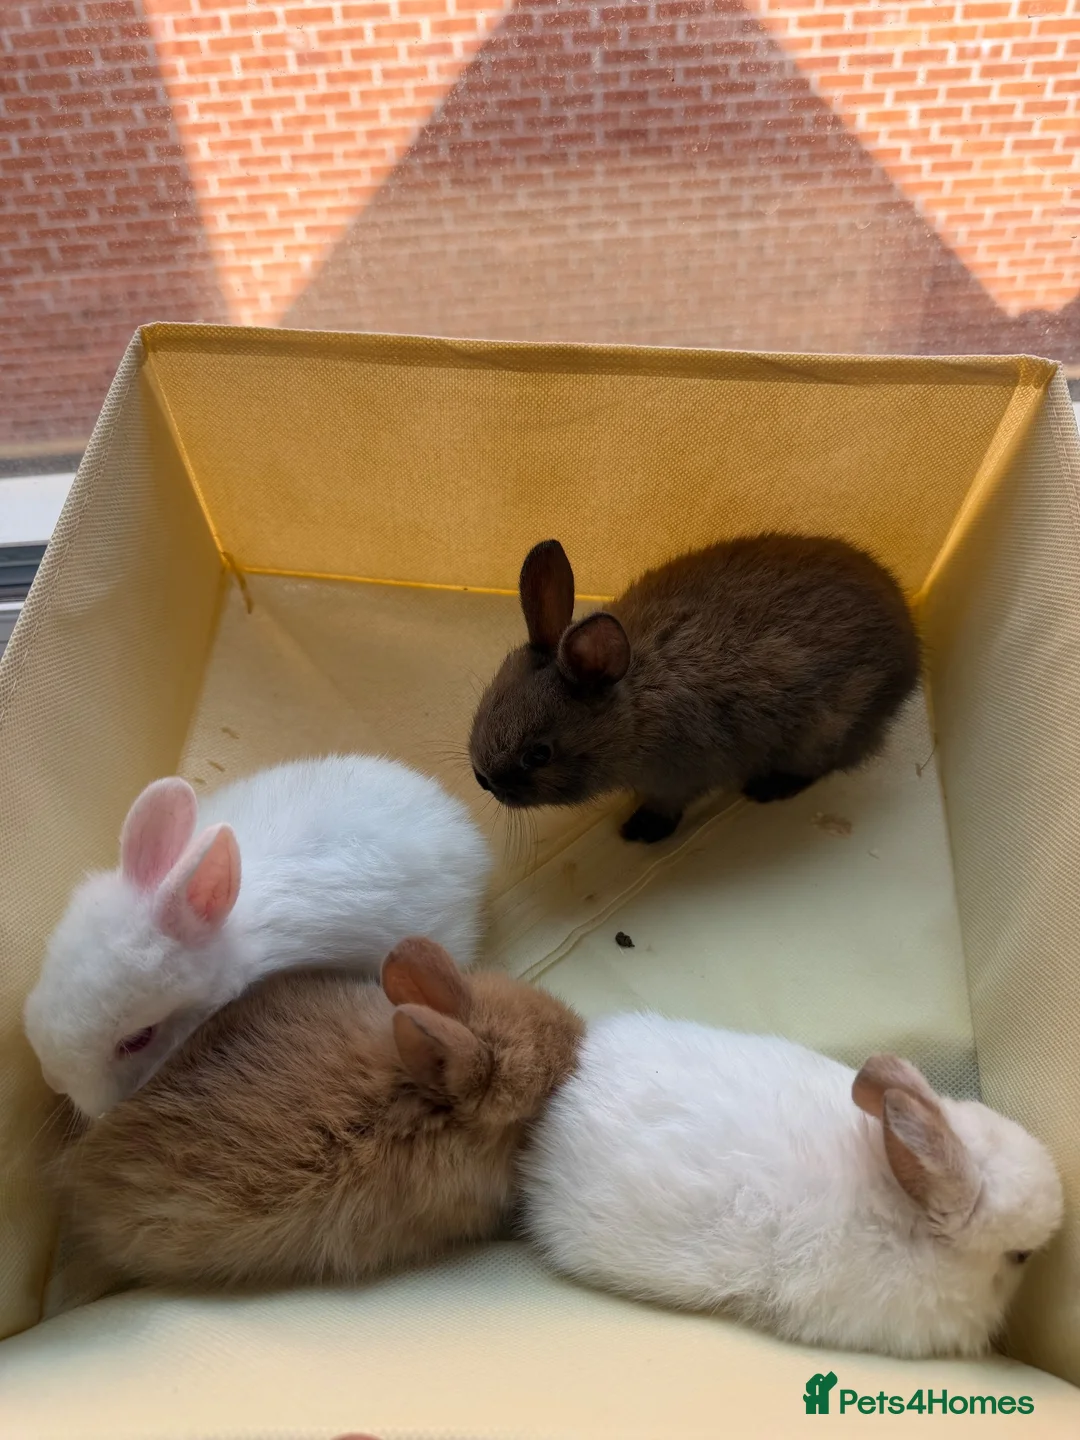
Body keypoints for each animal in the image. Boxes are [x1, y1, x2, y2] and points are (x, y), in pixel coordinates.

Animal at [469, 534, 920, 842]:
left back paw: (767, 788)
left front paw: (641, 831)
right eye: (485, 706)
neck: (631, 713)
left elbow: (668, 806)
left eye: (539, 754)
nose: (483, 780)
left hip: (824, 729)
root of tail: (911, 660)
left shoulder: (675, 779)